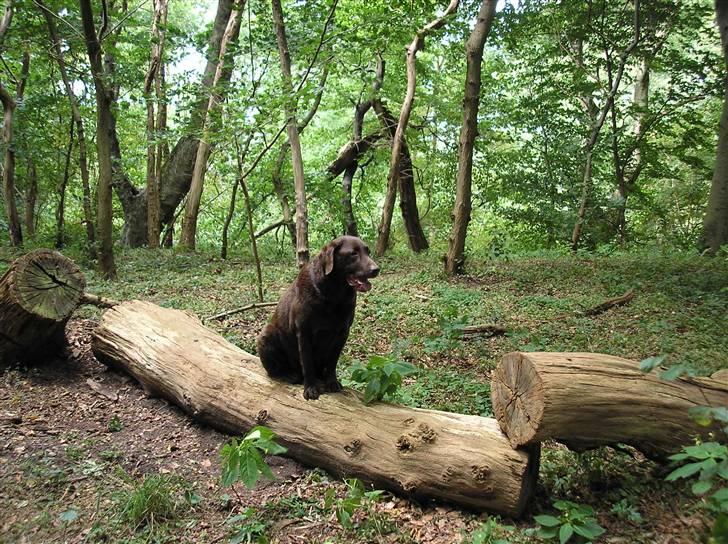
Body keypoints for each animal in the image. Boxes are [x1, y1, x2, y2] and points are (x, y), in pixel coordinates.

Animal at [258, 235, 382, 400]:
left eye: (368, 252)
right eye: (353, 253)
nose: (376, 269)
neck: (334, 296)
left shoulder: (342, 334)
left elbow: (332, 363)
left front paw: (332, 382)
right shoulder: (304, 333)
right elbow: (307, 363)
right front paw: (310, 388)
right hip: (266, 336)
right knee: (272, 371)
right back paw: (289, 375)